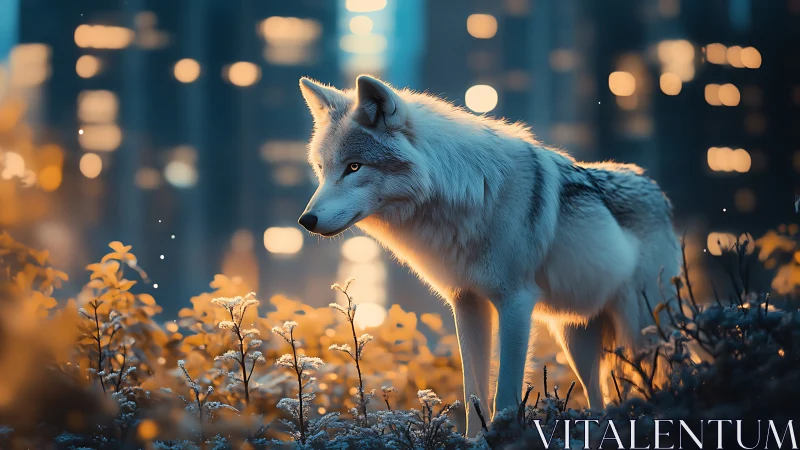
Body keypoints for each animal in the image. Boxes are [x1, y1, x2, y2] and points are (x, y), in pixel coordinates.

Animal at [297, 75, 680, 436]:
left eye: (354, 167)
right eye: (322, 169)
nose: (306, 221)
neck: (468, 193)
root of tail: (657, 190)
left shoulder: (516, 302)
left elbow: (505, 395)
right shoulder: (467, 303)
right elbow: (473, 394)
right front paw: (474, 439)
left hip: (642, 332)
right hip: (577, 341)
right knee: (598, 396)